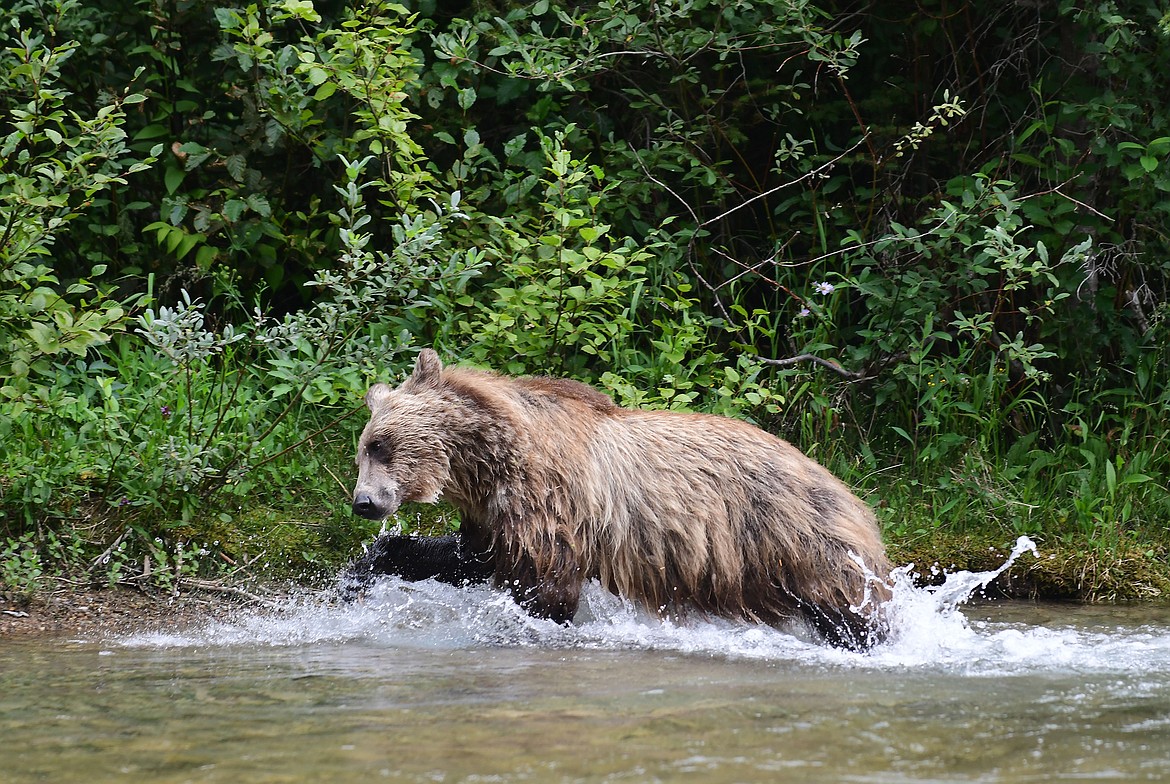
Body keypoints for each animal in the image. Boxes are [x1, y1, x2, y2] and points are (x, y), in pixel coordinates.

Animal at [346, 351, 884, 650]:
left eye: (380, 445)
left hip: (798, 540)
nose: (363, 502)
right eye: (363, 449)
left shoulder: (548, 501)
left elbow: (546, 587)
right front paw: (356, 579)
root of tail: (846, 487)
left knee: (851, 613)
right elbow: (465, 559)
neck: (486, 460)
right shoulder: (492, 515)